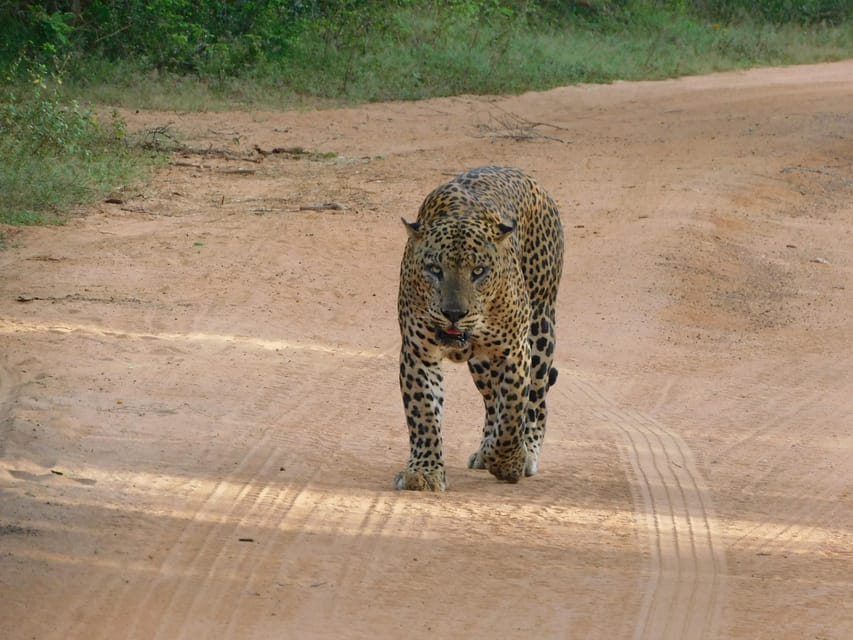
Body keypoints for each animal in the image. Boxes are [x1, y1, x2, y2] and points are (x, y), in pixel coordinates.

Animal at [394, 165, 564, 490]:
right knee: (491, 402)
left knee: (535, 402)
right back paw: (487, 448)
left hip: (540, 328)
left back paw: (527, 451)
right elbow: (424, 413)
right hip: (482, 364)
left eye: (479, 272)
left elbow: (513, 409)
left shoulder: (515, 351)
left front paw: (509, 461)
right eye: (434, 269)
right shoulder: (419, 352)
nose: (453, 313)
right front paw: (424, 471)